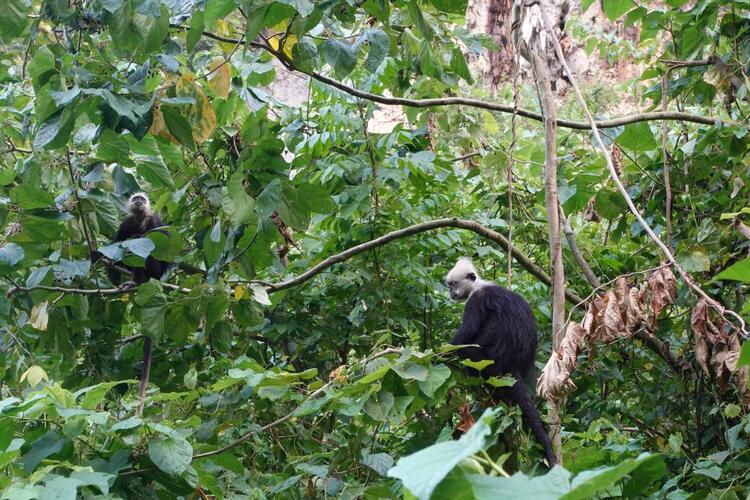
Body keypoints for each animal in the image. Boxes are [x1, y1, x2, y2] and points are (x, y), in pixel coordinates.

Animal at [446, 256, 560, 466]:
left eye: (454, 285)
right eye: (449, 285)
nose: (451, 292)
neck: (477, 286)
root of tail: (511, 364)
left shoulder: (475, 301)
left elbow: (467, 332)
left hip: (485, 357)